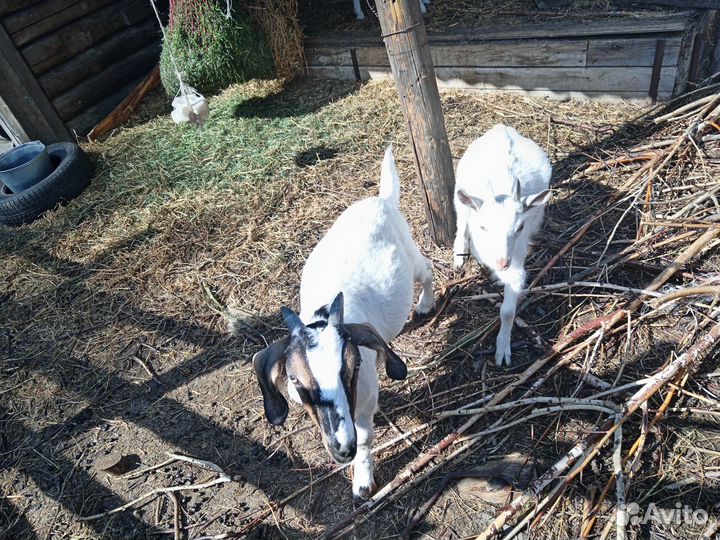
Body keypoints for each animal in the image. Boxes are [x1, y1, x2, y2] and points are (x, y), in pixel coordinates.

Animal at [253, 146, 434, 500]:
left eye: (352, 367)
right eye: (294, 380)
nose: (341, 449)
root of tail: (381, 199)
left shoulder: (363, 402)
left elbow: (365, 439)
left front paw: (362, 483)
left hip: (413, 259)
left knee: (429, 270)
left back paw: (424, 305)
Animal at [453, 124, 552, 367]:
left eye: (519, 227)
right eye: (483, 227)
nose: (502, 262)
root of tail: (502, 129)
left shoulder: (517, 255)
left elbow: (508, 309)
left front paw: (503, 351)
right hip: (460, 191)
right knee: (460, 218)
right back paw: (459, 255)